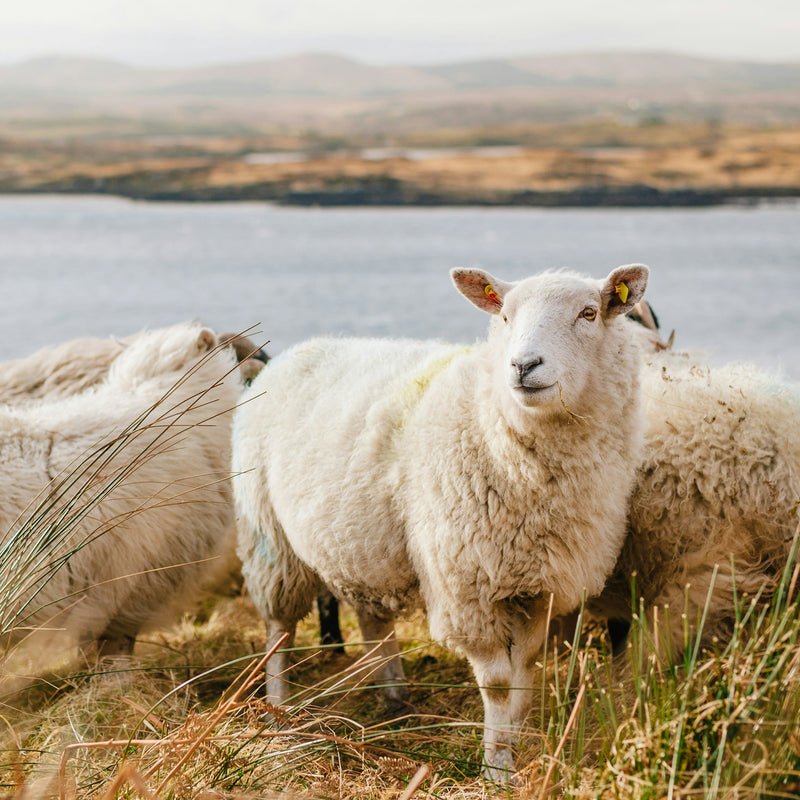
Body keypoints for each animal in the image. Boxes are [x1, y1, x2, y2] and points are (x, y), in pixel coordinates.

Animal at [233, 264, 650, 781]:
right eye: (504, 316)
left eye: (589, 313)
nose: (523, 366)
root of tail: (292, 353)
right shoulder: (467, 587)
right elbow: (497, 683)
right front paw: (496, 767)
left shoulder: (540, 586)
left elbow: (525, 670)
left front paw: (517, 740)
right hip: (269, 537)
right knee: (279, 629)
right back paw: (280, 714)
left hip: (362, 544)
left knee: (374, 620)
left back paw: (396, 700)